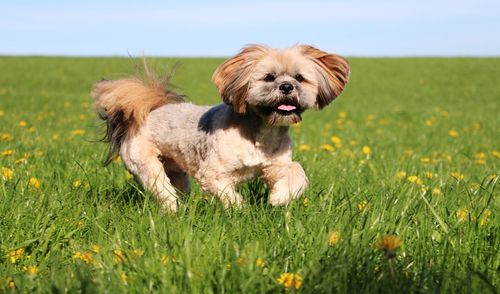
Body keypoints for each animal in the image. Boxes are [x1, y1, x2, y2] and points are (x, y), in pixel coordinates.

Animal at [92, 44, 350, 211]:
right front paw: (240, 210)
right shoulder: (213, 174)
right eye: (268, 77)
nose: (287, 86)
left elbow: (296, 171)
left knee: (178, 187)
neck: (260, 133)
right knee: (162, 189)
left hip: (177, 173)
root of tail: (148, 110)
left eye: (299, 77)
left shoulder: (275, 166)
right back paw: (173, 210)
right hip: (146, 164)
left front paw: (281, 197)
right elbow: (227, 193)